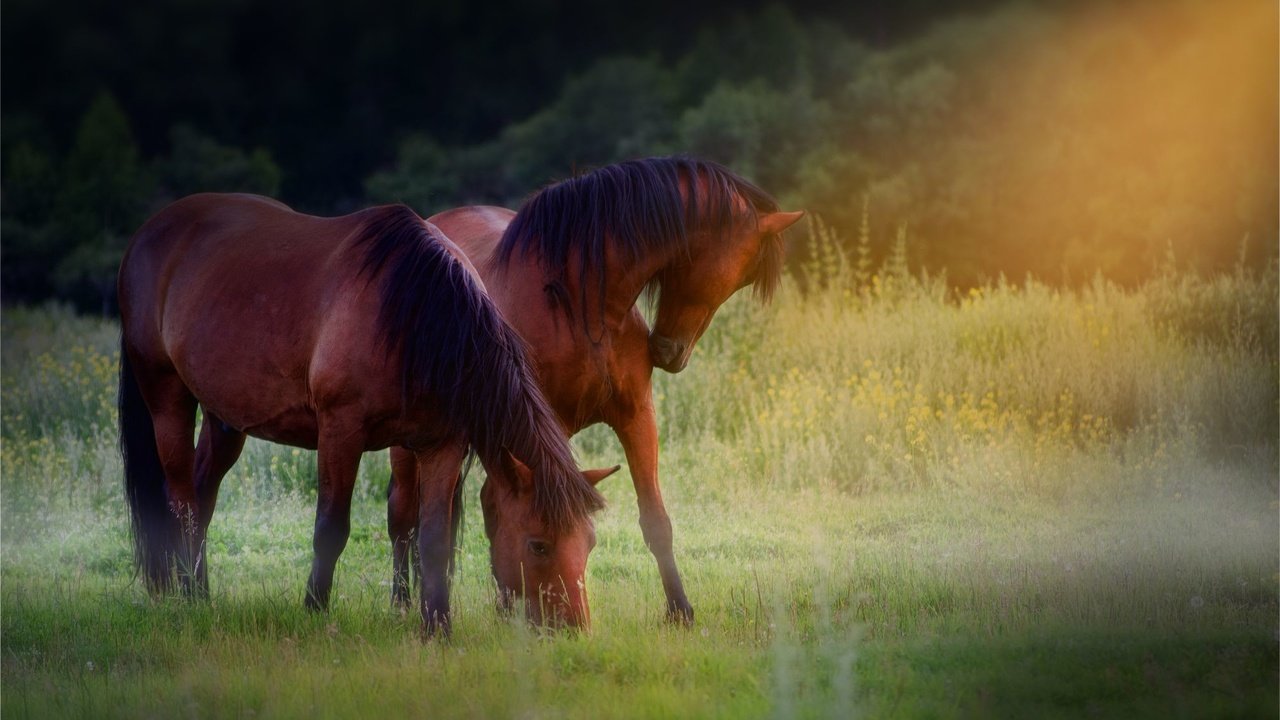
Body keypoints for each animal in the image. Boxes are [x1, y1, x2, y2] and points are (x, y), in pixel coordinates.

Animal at [119, 192, 614, 632]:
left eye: (589, 542)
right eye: (538, 545)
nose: (574, 627)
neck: (413, 318)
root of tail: (148, 234)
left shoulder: (442, 445)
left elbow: (433, 539)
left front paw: (437, 627)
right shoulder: (341, 431)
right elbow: (331, 528)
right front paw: (315, 611)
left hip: (224, 418)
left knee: (203, 495)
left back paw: (202, 593)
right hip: (167, 393)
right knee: (182, 499)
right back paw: (185, 596)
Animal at [386, 156, 798, 622]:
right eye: (740, 272)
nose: (670, 352)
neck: (581, 306)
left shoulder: (636, 415)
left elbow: (655, 520)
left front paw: (680, 611)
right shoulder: (549, 430)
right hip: (412, 444)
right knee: (403, 513)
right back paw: (404, 602)